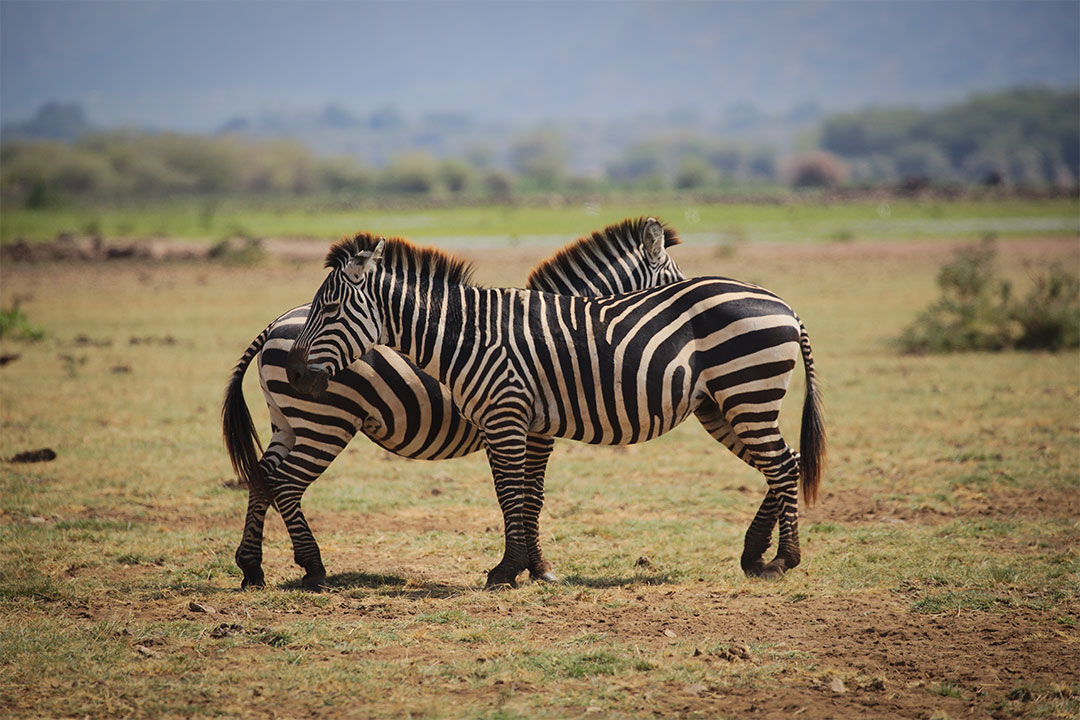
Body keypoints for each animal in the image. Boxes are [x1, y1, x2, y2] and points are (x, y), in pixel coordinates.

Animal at [223, 216, 686, 587]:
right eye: (675, 286)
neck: (557, 330)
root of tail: (274, 324)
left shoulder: (528, 425)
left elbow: (528, 493)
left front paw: (533, 567)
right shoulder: (532, 428)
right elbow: (526, 494)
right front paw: (528, 568)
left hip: (288, 419)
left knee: (263, 476)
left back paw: (252, 568)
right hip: (325, 422)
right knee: (286, 483)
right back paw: (314, 568)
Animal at [287, 234, 825, 587]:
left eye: (330, 310)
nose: (297, 376)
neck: (466, 334)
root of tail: (785, 305)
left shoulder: (508, 416)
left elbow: (515, 495)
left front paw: (509, 570)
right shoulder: (514, 422)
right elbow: (525, 495)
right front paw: (530, 567)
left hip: (745, 392)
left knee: (783, 465)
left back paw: (782, 560)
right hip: (727, 404)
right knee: (784, 465)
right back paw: (757, 556)